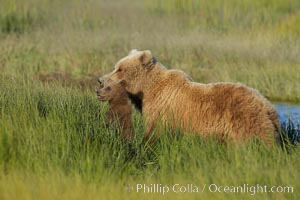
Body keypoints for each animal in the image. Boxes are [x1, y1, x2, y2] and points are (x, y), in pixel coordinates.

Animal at [99, 49, 280, 145]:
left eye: (120, 69)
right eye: (115, 67)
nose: (101, 80)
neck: (148, 89)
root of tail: (268, 107)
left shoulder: (161, 109)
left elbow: (154, 131)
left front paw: (145, 143)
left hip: (244, 121)